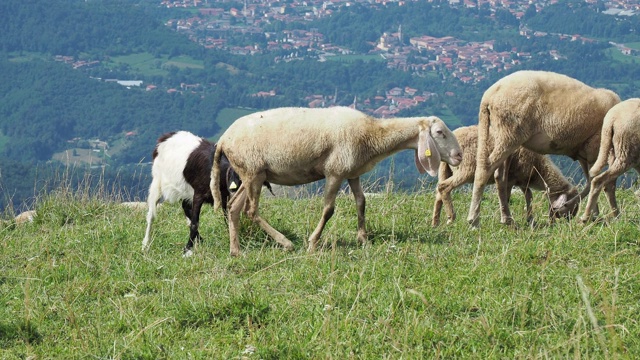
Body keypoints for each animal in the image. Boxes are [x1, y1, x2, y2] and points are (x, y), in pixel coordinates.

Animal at [142, 131, 272, 256]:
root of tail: (166, 137)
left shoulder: (224, 197)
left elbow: (227, 217)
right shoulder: (199, 194)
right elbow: (195, 223)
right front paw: (187, 249)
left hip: (186, 189)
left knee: (185, 207)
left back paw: (200, 239)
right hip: (157, 181)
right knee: (151, 214)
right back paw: (145, 244)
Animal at [212, 106, 462, 256]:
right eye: (440, 132)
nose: (459, 156)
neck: (373, 135)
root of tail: (223, 139)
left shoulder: (352, 173)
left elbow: (361, 202)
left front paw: (363, 239)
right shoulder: (335, 172)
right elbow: (328, 209)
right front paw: (313, 242)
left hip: (250, 173)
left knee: (233, 207)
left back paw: (236, 250)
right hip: (253, 171)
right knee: (251, 210)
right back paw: (285, 243)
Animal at [432, 126, 576, 228]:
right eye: (571, 204)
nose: (570, 220)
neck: (538, 168)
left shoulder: (522, 181)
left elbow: (529, 197)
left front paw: (530, 219)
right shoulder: (511, 180)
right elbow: (507, 197)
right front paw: (508, 218)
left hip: (445, 170)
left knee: (438, 193)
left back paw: (436, 222)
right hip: (466, 168)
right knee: (444, 187)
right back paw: (451, 217)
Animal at [464, 70, 620, 228]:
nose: (566, 216)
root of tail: (489, 95)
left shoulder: (584, 154)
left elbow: (591, 180)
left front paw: (594, 214)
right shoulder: (596, 148)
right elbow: (605, 183)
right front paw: (608, 215)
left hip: (504, 136)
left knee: (500, 177)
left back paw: (507, 219)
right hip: (509, 133)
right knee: (485, 169)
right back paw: (474, 220)